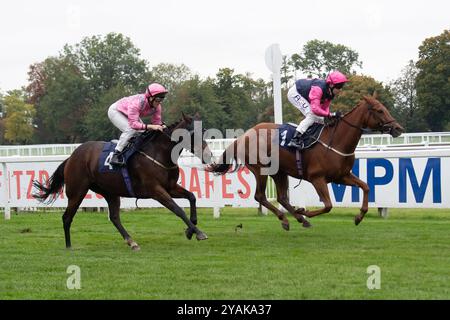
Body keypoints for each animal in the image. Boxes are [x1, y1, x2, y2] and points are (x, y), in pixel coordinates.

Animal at [33, 114, 213, 251]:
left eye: (204, 132)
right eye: (193, 134)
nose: (208, 155)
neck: (159, 154)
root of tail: (71, 156)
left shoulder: (170, 187)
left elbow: (192, 197)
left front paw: (190, 230)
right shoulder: (156, 190)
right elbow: (178, 210)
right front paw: (198, 233)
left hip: (109, 192)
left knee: (114, 217)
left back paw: (131, 242)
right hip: (77, 191)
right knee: (67, 217)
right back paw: (69, 246)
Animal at [207, 95, 404, 230]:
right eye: (379, 110)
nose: (398, 128)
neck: (336, 140)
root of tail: (243, 136)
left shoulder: (341, 176)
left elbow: (366, 187)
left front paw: (359, 216)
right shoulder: (317, 178)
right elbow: (328, 205)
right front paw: (306, 212)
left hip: (279, 172)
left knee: (282, 197)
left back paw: (298, 218)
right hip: (261, 170)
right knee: (260, 196)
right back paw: (287, 218)